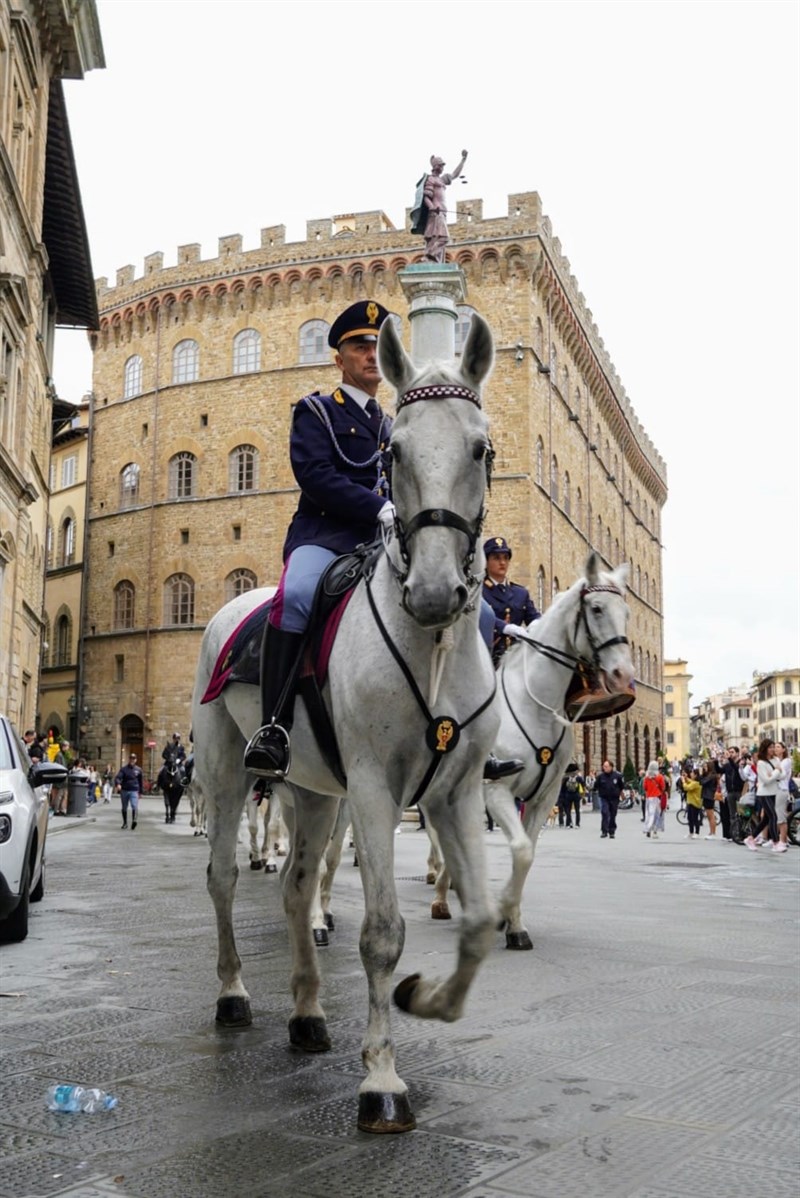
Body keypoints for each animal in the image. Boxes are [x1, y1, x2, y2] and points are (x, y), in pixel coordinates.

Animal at [428, 555, 632, 939]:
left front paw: (513, 922)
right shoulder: (497, 790)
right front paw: (505, 912)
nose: (622, 675)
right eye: (597, 608)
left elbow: (528, 853)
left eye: (626, 612)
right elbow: (521, 850)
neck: (535, 702)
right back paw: (441, 897)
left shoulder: (545, 797)